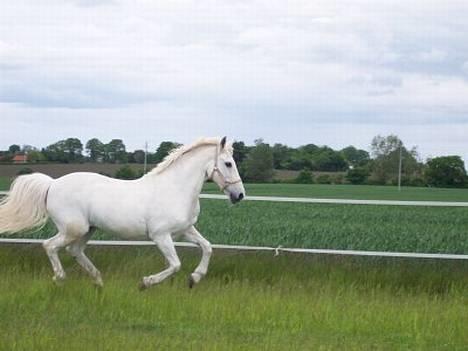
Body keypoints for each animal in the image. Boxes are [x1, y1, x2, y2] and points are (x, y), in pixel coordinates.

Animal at [0, 137, 247, 288]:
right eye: (227, 163)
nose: (240, 195)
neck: (175, 188)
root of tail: (52, 184)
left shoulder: (185, 230)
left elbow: (207, 247)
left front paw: (194, 279)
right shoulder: (161, 236)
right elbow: (175, 264)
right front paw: (145, 283)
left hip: (88, 229)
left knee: (75, 251)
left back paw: (99, 282)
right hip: (74, 228)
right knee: (50, 245)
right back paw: (61, 278)